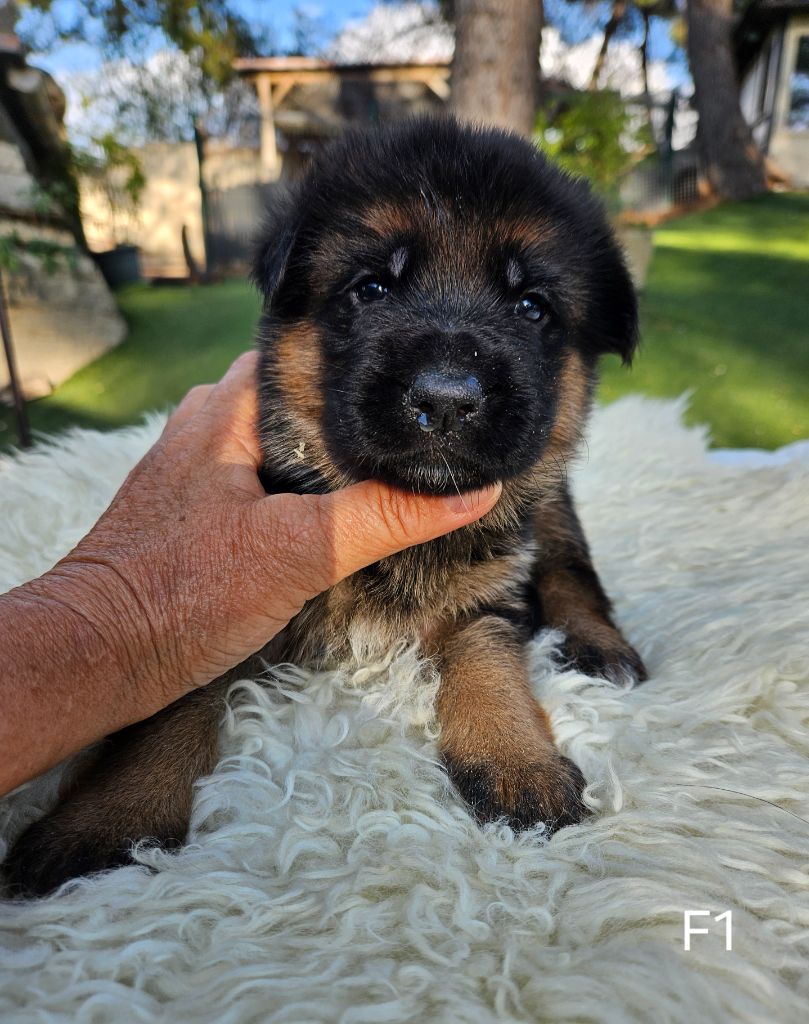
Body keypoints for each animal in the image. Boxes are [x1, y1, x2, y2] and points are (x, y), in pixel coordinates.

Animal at [6, 119, 647, 897]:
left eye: (532, 307)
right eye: (370, 288)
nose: (446, 400)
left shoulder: (490, 582)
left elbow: (489, 658)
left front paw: (515, 757)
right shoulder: (223, 611)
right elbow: (168, 707)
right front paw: (110, 817)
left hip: (552, 510)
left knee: (570, 568)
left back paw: (599, 645)